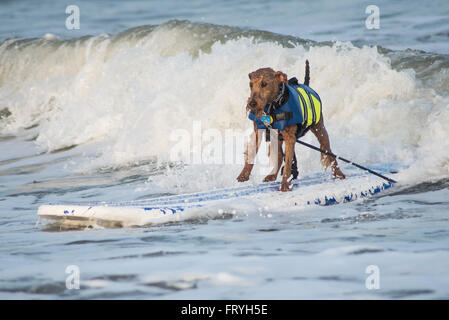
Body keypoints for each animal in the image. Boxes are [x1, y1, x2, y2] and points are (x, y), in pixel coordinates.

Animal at [236, 60, 344, 191]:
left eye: (264, 83)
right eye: (251, 85)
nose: (252, 104)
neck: (273, 106)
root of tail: (306, 85)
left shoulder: (289, 137)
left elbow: (288, 164)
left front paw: (284, 186)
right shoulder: (258, 132)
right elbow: (251, 153)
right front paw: (243, 175)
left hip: (320, 129)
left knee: (329, 152)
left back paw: (339, 174)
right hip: (276, 137)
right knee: (279, 155)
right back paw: (271, 176)